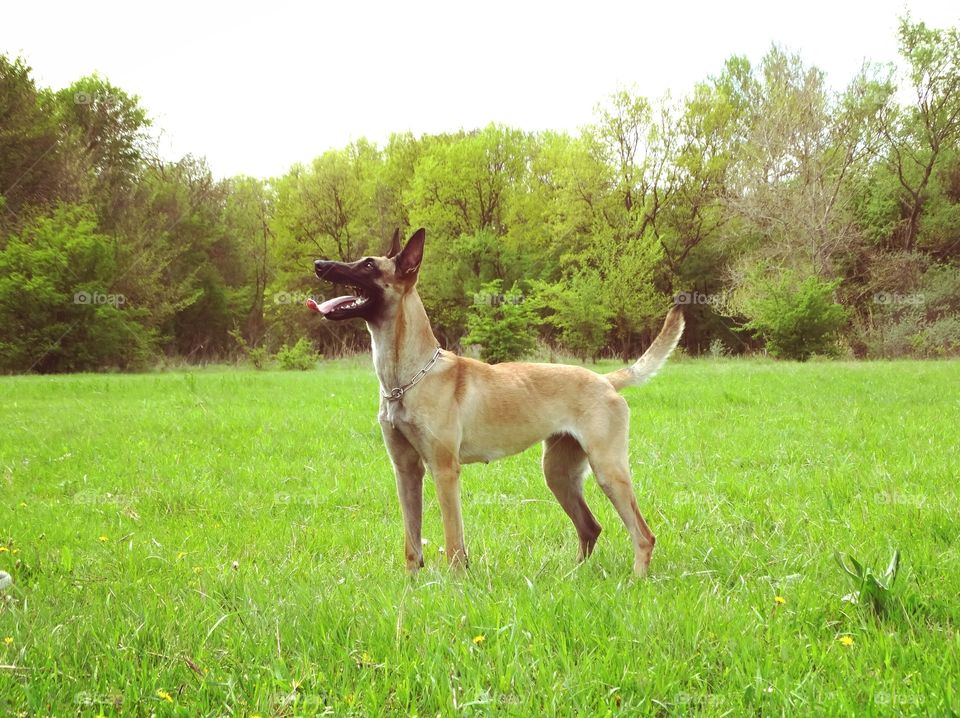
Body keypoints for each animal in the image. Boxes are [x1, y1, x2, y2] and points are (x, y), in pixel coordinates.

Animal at [316, 228, 684, 576]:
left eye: (368, 265)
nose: (320, 264)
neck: (407, 378)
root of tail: (605, 379)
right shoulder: (406, 471)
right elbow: (412, 544)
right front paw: (411, 586)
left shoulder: (444, 470)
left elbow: (453, 544)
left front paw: (455, 584)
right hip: (558, 473)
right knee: (590, 527)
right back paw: (573, 576)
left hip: (609, 470)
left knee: (643, 535)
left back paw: (635, 579)